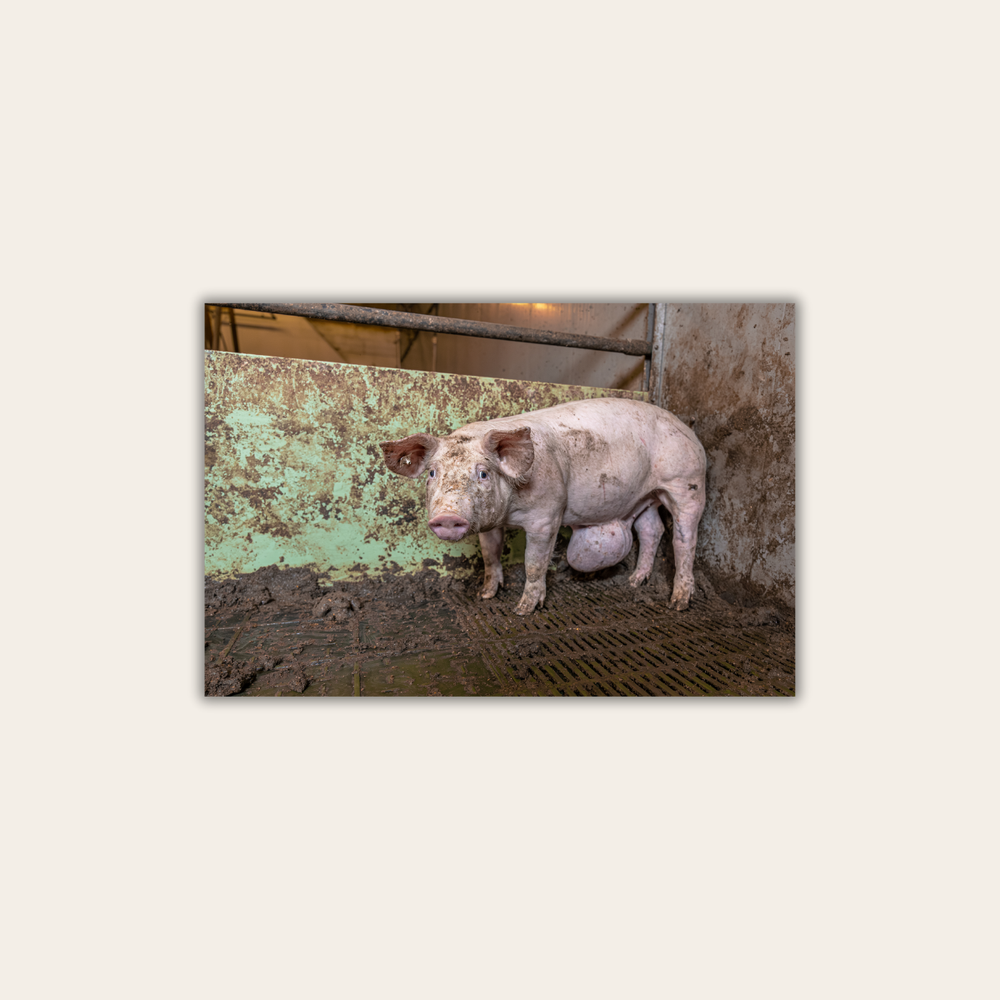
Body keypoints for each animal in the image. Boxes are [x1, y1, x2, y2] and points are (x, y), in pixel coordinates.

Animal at [380, 397, 706, 616]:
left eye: (483, 473)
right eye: (432, 473)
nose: (448, 516)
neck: (511, 512)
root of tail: (689, 431)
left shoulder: (546, 516)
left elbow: (534, 563)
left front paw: (523, 610)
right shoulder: (490, 522)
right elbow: (490, 555)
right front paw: (486, 595)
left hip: (687, 483)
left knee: (684, 540)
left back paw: (678, 603)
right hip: (644, 497)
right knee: (652, 530)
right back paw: (634, 582)